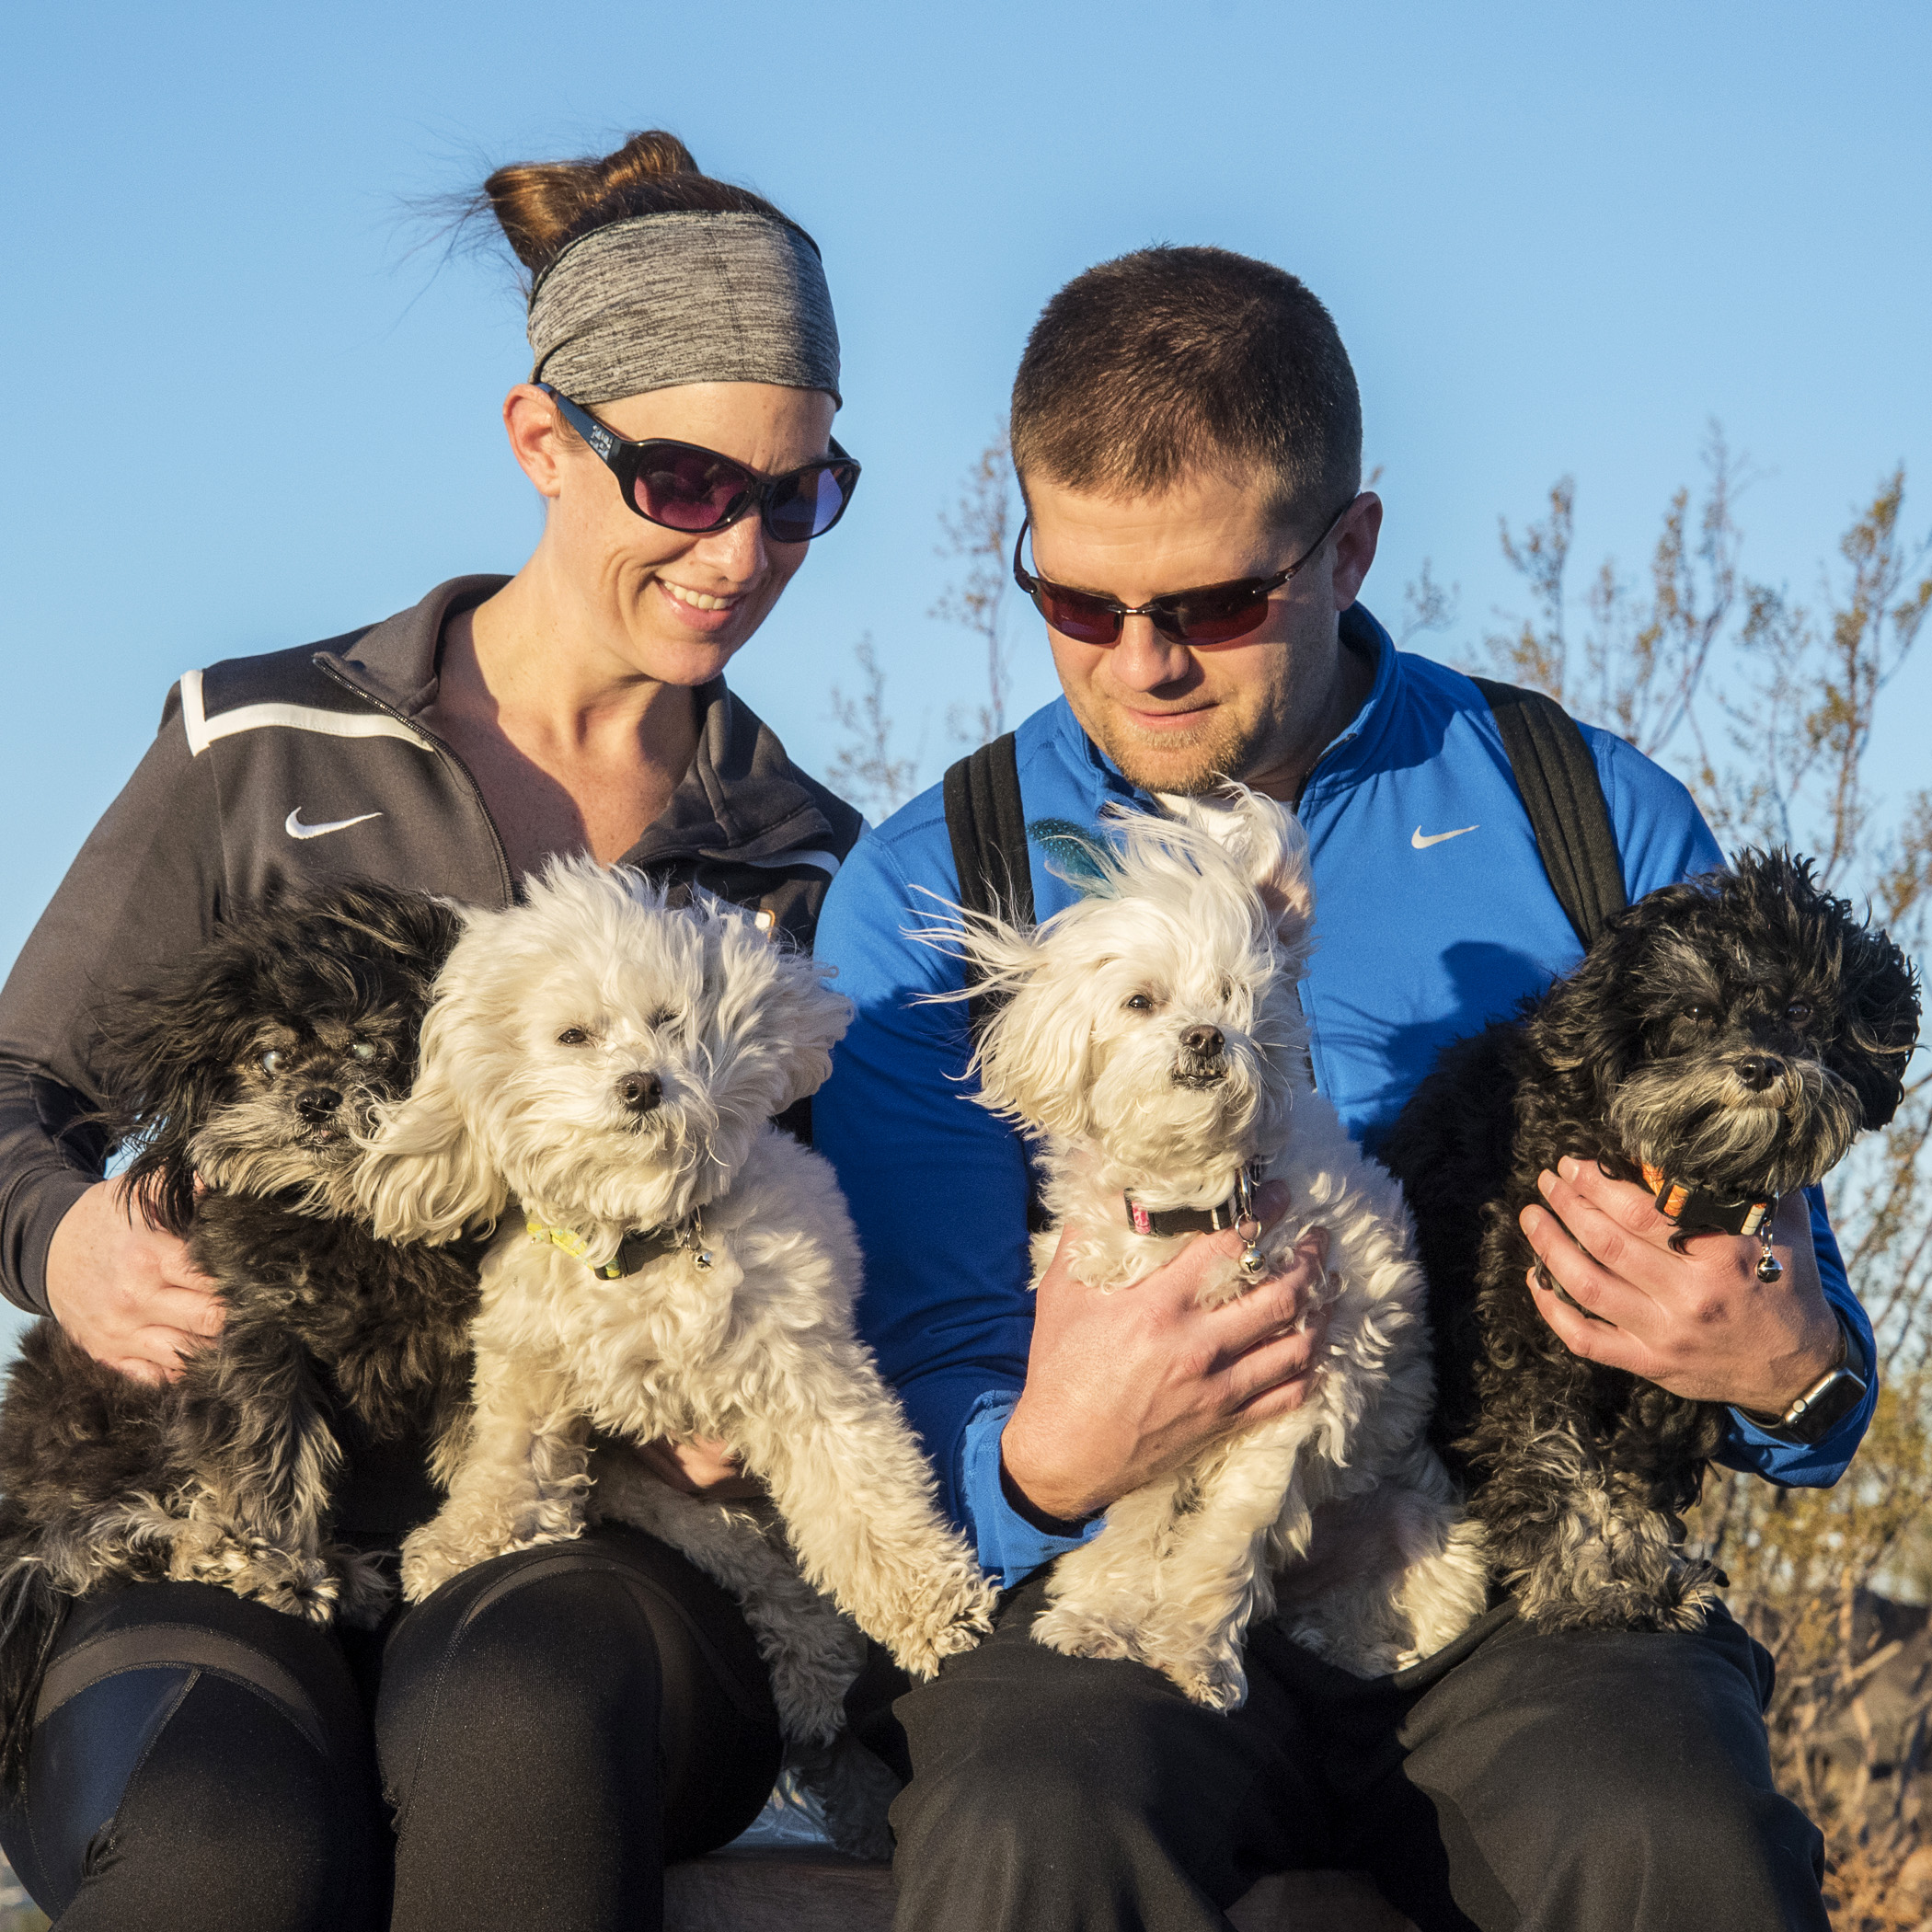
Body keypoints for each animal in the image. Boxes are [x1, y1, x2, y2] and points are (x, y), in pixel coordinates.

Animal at [0, 884, 480, 1785]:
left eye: (371, 1045)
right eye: (269, 1058)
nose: (318, 1100)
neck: (347, 1216)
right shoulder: (252, 1340)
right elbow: (273, 1458)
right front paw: (282, 1565)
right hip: (106, 1426)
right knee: (70, 1542)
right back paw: (211, 1553)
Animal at [350, 861, 1005, 1769]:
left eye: (668, 1020)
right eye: (574, 1036)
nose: (640, 1084)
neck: (643, 1239)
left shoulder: (811, 1380)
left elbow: (863, 1499)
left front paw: (928, 1602)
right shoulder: (531, 1370)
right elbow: (508, 1462)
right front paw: (464, 1540)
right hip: (669, 1504)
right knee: (773, 1577)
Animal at [942, 791, 1483, 1715]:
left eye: (1233, 994)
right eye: (1140, 1002)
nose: (1203, 1038)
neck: (1191, 1206)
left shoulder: (1297, 1398)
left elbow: (1223, 1544)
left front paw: (1194, 1653)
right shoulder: (1136, 1423)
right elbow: (1133, 1531)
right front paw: (1102, 1618)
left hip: (1418, 1525)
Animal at [1390, 854, 1916, 1622]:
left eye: (1797, 1010)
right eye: (1695, 1012)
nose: (1759, 1066)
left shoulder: (1679, 1364)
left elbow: (1640, 1476)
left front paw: (1649, 1577)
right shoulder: (1522, 1334)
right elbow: (1551, 1459)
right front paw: (1585, 1582)